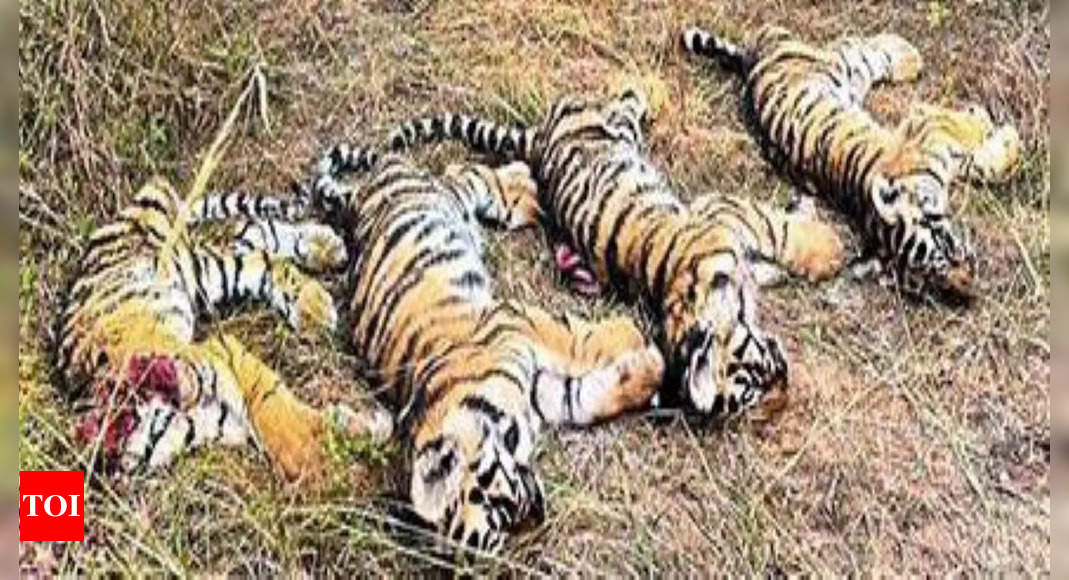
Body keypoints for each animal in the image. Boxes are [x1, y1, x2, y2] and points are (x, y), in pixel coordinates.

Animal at [53, 179, 389, 482]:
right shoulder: (213, 420)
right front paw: (367, 427)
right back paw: (327, 246)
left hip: (194, 268)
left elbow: (274, 408)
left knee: (256, 255)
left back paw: (313, 301)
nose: (184, 387)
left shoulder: (216, 350)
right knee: (251, 233)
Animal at [307, 145, 667, 555]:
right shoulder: (542, 393)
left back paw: (525, 181)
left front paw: (632, 334)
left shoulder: (515, 322)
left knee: (466, 173)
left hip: (448, 193)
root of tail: (359, 197)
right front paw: (648, 369)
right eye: (501, 530)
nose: (539, 514)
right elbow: (590, 398)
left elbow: (578, 340)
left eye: (499, 505)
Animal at [376, 84, 842, 422]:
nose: (786, 383)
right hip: (610, 127)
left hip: (606, 123)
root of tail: (539, 137)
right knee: (625, 103)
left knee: (626, 99)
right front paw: (825, 249)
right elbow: (774, 231)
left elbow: (776, 236)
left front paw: (825, 248)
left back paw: (650, 95)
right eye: (755, 387)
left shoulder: (721, 215)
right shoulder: (725, 216)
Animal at [679, 23, 1021, 296]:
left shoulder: (926, 123)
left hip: (834, 63)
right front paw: (998, 133)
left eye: (946, 250)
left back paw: (908, 53)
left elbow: (975, 145)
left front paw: (995, 128)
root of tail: (750, 61)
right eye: (931, 283)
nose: (970, 287)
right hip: (846, 73)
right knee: (862, 52)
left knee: (857, 46)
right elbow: (980, 163)